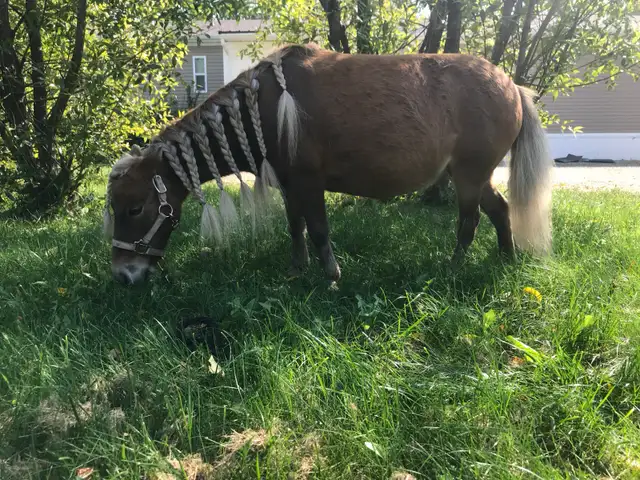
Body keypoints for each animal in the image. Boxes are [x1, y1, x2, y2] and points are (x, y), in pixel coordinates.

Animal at [103, 43, 553, 286]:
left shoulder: (308, 180)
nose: (123, 275)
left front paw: (332, 276)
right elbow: (296, 227)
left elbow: (318, 228)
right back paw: (507, 257)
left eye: (135, 208)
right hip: (471, 173)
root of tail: (511, 84)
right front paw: (297, 270)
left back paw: (454, 268)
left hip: (469, 173)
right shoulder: (289, 184)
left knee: (469, 220)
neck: (264, 109)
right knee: (499, 209)